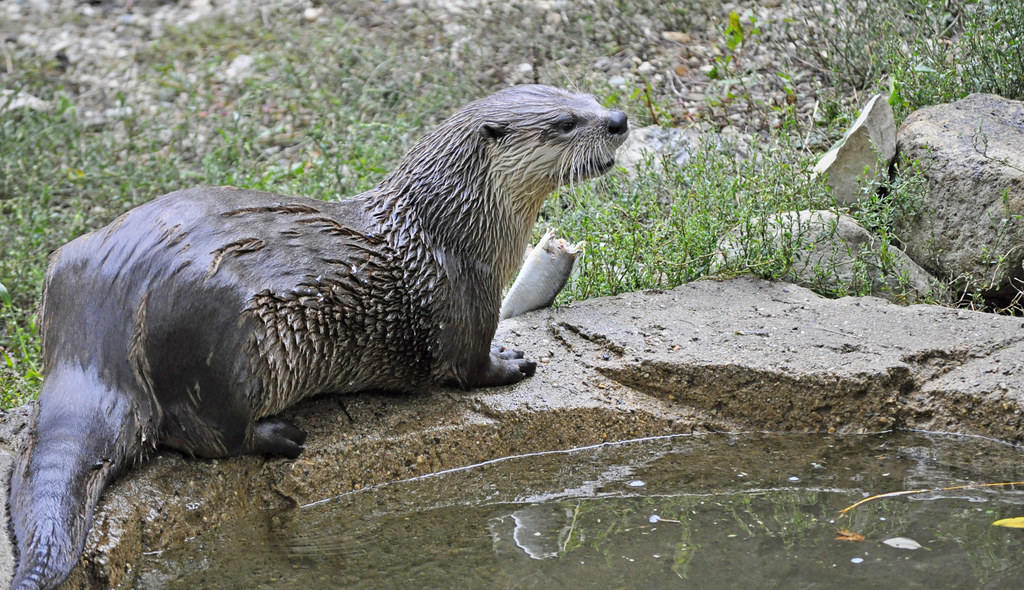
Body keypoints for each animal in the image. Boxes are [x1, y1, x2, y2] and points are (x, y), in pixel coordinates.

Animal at [8, 85, 628, 589]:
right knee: (200, 434)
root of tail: (94, 335)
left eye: (588, 97)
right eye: (566, 121)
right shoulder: (465, 300)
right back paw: (280, 435)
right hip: (223, 343)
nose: (619, 119)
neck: (452, 230)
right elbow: (468, 366)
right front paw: (510, 361)